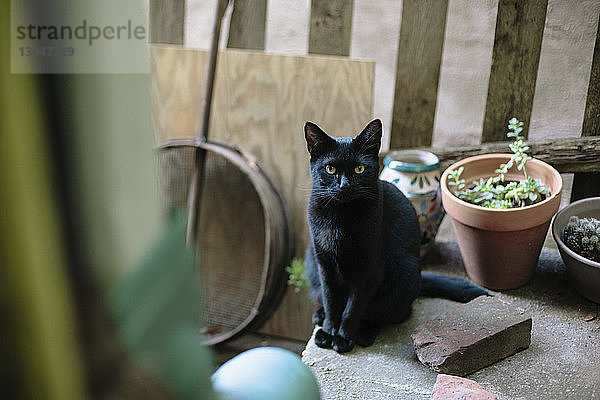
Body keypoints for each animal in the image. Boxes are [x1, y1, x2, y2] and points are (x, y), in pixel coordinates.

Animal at [304, 119, 488, 354]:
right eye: (330, 168)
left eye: (359, 169)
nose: (344, 185)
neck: (341, 217)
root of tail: (420, 276)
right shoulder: (324, 264)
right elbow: (331, 301)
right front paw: (328, 331)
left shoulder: (369, 268)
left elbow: (353, 307)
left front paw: (343, 336)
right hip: (311, 260)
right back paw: (320, 316)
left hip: (403, 272)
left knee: (392, 313)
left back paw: (365, 333)